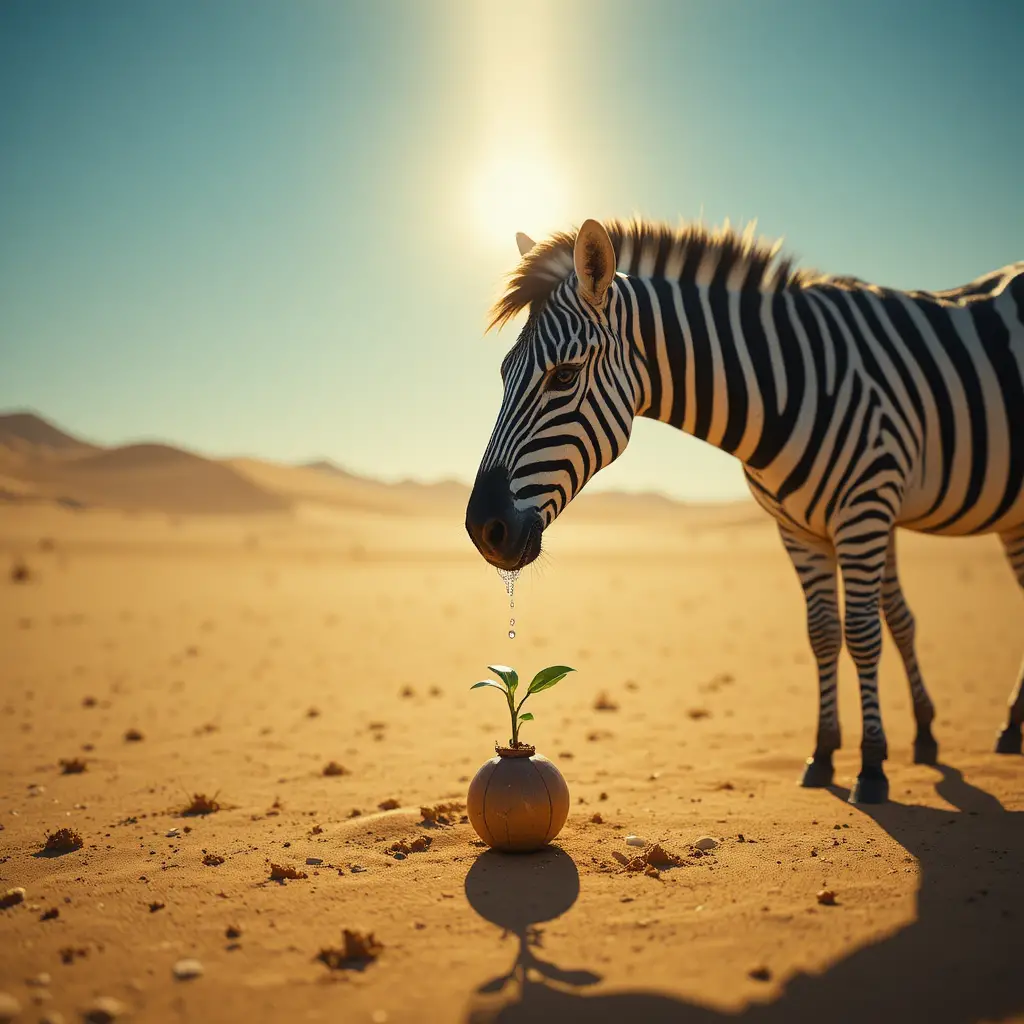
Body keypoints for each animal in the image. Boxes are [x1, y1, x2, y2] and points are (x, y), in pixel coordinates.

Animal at [465, 217, 1024, 804]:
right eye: (503, 374)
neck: (786, 384)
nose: (483, 529)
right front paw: (824, 754)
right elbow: (824, 633)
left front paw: (871, 766)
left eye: (565, 377)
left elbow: (863, 633)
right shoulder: (796, 528)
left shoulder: (866, 508)